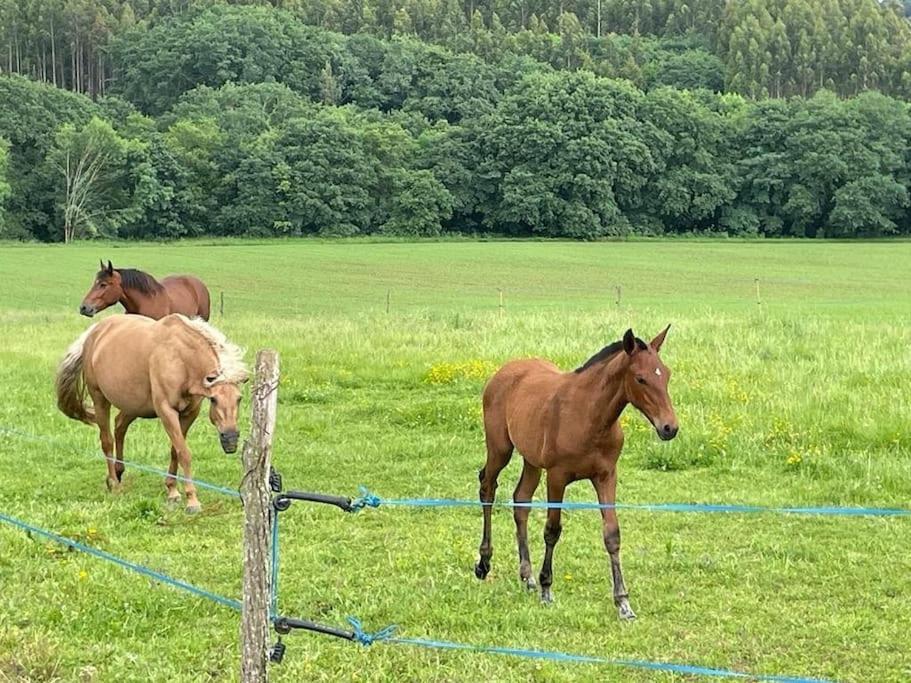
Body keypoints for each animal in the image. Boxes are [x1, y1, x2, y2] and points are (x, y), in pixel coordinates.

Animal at [57, 312, 249, 510]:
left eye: (239, 398)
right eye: (213, 399)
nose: (231, 439)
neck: (180, 359)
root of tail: (94, 332)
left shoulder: (189, 413)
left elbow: (175, 450)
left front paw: (172, 491)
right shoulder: (167, 411)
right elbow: (184, 453)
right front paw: (192, 500)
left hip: (133, 405)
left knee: (119, 427)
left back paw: (119, 471)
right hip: (100, 400)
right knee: (107, 441)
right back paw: (114, 483)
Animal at [478, 326, 676, 620]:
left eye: (667, 374)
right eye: (640, 378)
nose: (669, 428)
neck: (590, 416)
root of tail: (504, 371)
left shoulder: (606, 476)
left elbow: (612, 534)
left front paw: (623, 602)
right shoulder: (557, 477)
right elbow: (552, 530)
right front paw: (547, 589)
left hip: (531, 460)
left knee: (521, 500)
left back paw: (527, 576)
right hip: (500, 449)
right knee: (488, 488)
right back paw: (484, 563)